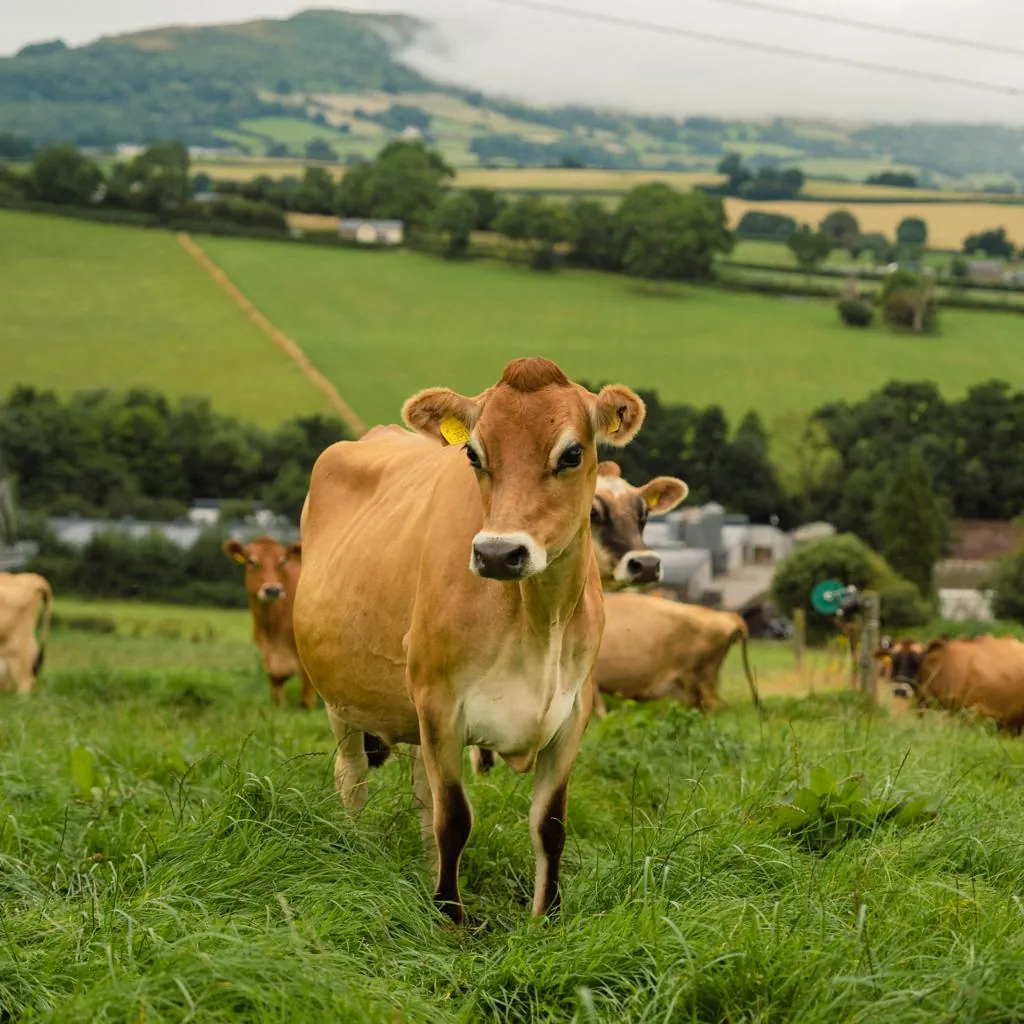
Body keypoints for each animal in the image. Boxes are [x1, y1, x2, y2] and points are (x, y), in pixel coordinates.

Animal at [293, 357, 646, 923]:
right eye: (473, 453)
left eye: (572, 453)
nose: (499, 553)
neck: (537, 621)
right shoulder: (440, 704)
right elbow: (454, 819)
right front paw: (449, 918)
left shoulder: (572, 713)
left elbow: (550, 824)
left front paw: (545, 919)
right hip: (339, 699)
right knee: (353, 778)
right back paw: (355, 846)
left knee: (420, 792)